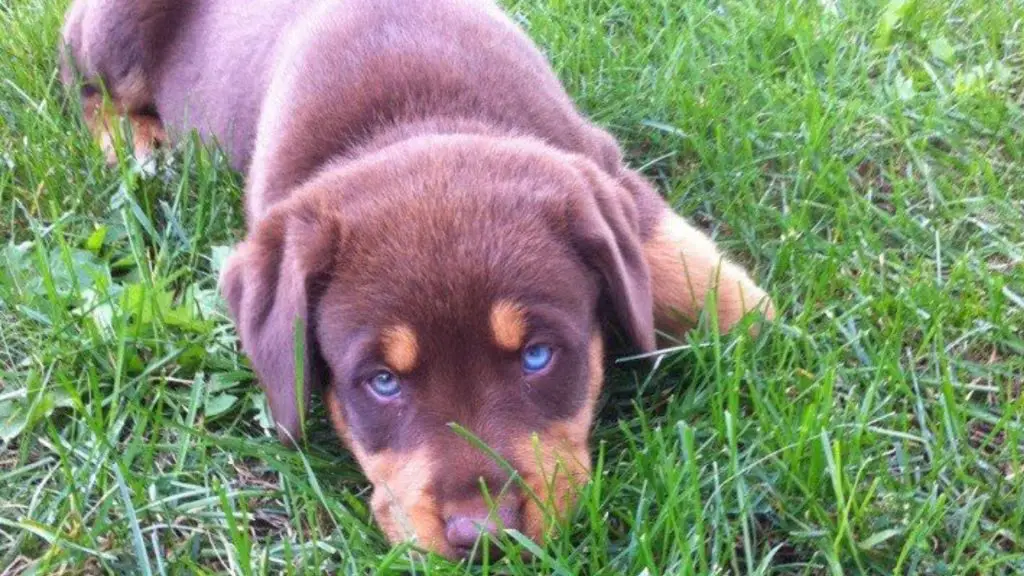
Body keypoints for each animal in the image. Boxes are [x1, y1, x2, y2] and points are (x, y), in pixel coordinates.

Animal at [59, 0, 770, 557]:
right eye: (382, 382)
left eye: (538, 356)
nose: (485, 536)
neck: (416, 118)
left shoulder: (604, 169)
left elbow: (734, 303)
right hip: (112, 36)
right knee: (87, 91)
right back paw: (138, 150)